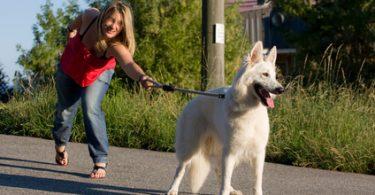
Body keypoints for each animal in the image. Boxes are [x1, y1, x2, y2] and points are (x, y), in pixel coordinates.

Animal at [167, 41, 284, 195]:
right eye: (265, 74)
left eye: (274, 77)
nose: (281, 89)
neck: (249, 111)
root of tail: (191, 102)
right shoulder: (230, 152)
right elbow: (225, 179)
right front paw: (225, 191)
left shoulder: (258, 153)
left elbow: (257, 182)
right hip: (190, 148)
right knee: (180, 169)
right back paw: (173, 189)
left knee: (218, 170)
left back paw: (232, 190)